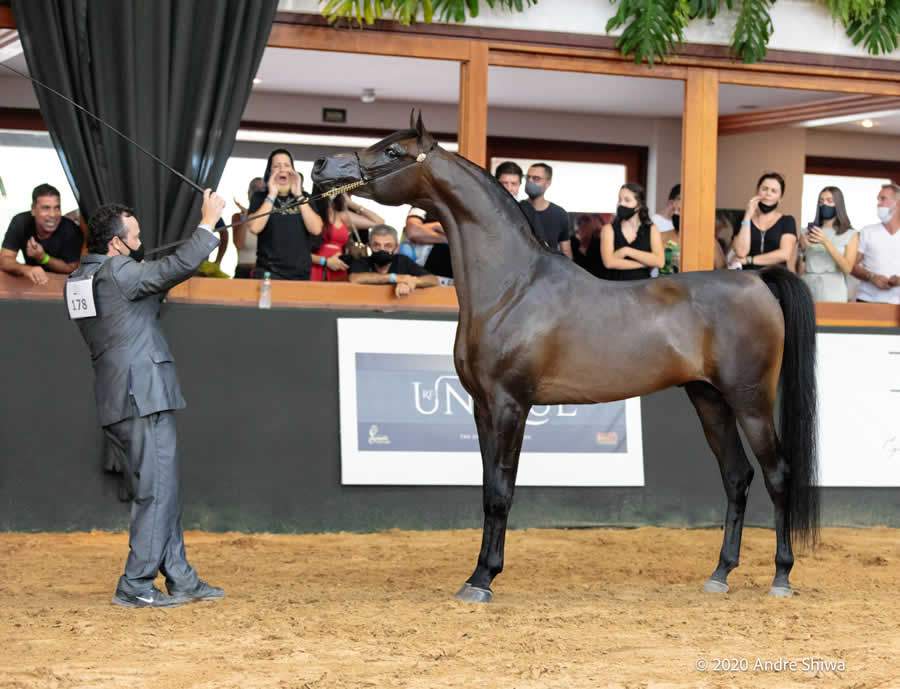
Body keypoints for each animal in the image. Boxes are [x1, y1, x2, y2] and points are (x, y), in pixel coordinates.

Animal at [311, 112, 819, 602]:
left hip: (750, 400)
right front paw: (476, 573)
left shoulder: (511, 404)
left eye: (393, 152)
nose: (320, 166)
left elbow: (501, 491)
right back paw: (720, 575)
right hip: (709, 399)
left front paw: (483, 580)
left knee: (777, 474)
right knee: (737, 476)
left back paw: (781, 577)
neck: (512, 287)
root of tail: (756, 279)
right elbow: (486, 489)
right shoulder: (481, 407)